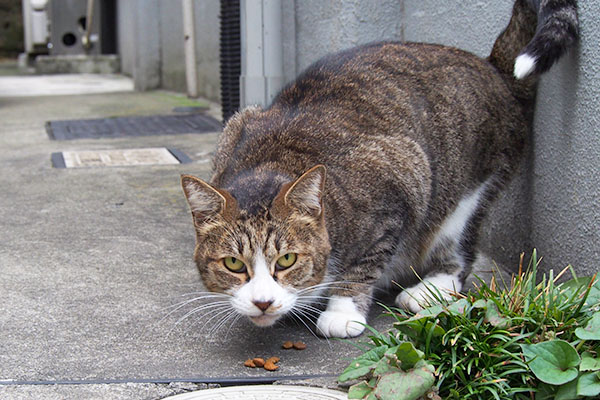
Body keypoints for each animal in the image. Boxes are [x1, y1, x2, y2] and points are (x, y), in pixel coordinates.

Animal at [180, 0, 580, 338]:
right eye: (234, 264)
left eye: (287, 259)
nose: (263, 302)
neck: (271, 161)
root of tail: (493, 67)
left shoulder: (399, 181)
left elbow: (363, 264)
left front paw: (342, 311)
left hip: (466, 193)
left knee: (459, 251)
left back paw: (427, 289)